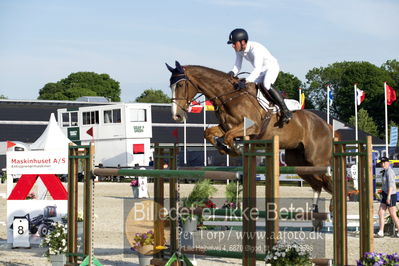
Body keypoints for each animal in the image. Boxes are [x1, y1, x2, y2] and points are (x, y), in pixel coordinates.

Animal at [166, 60, 334, 210]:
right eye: (170, 85)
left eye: (180, 85)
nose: (176, 116)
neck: (228, 97)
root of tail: (327, 125)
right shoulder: (225, 126)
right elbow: (209, 133)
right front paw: (224, 149)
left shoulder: (253, 127)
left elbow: (228, 136)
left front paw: (235, 149)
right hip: (297, 161)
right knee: (318, 184)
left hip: (316, 160)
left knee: (329, 181)